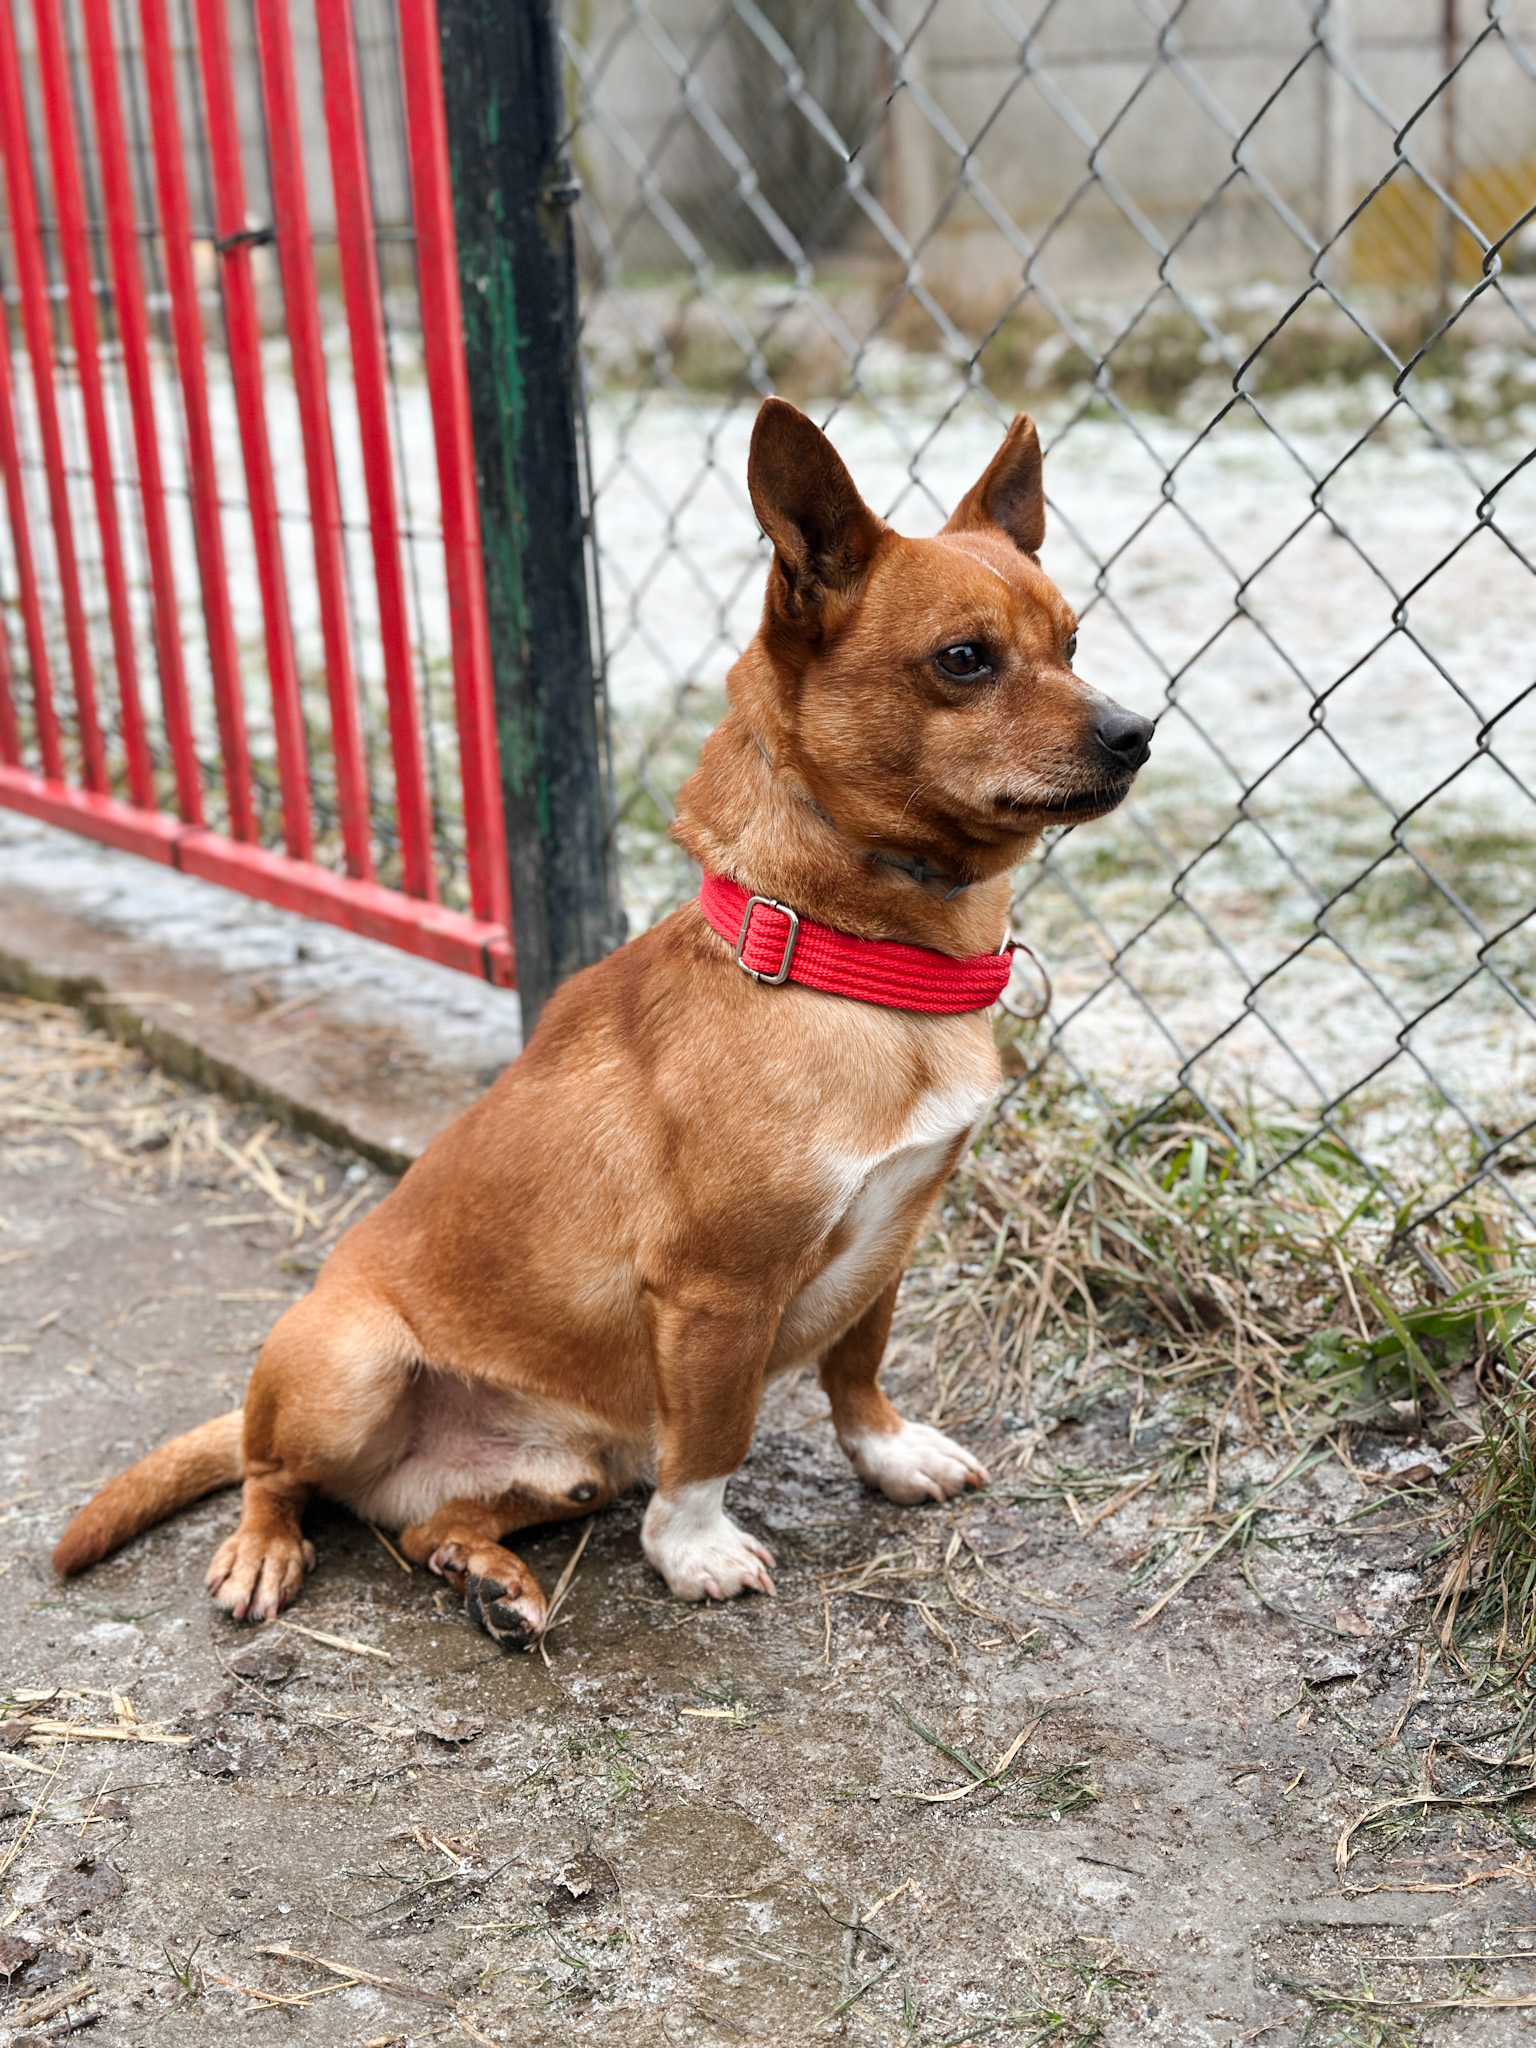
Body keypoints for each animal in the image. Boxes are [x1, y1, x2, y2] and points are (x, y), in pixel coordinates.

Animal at [54, 399, 1151, 1643]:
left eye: (1072, 643)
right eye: (964, 659)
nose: (1137, 731)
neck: (852, 961)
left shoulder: (892, 1237)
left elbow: (857, 1365)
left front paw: (885, 1451)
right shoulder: (715, 1293)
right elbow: (714, 1436)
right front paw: (694, 1546)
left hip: (569, 1467)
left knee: (423, 1530)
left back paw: (488, 1577)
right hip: (347, 1364)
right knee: (271, 1472)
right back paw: (265, 1546)